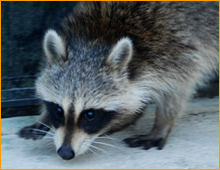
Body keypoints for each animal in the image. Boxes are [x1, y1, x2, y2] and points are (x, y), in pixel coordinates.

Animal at [18, 1, 218, 161]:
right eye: (59, 110)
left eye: (90, 114)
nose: (66, 153)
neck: (97, 36)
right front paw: (44, 117)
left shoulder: (177, 49)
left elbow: (177, 89)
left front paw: (162, 124)